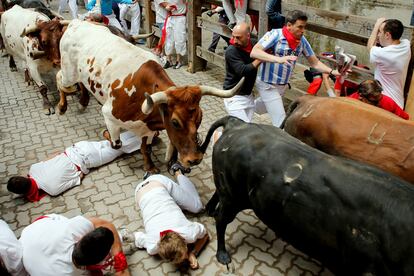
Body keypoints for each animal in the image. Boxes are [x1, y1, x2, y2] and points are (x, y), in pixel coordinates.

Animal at [56, 20, 241, 172]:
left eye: (200, 118)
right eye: (175, 122)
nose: (194, 160)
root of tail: (77, 22)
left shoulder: (148, 128)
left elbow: (146, 148)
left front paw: (150, 166)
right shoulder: (108, 114)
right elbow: (116, 144)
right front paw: (106, 133)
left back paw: (83, 100)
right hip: (69, 73)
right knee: (60, 79)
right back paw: (62, 106)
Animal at [201, 116, 414, 276]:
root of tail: (238, 123)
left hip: (229, 188)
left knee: (217, 196)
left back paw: (209, 210)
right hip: (233, 197)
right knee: (221, 219)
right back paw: (223, 255)